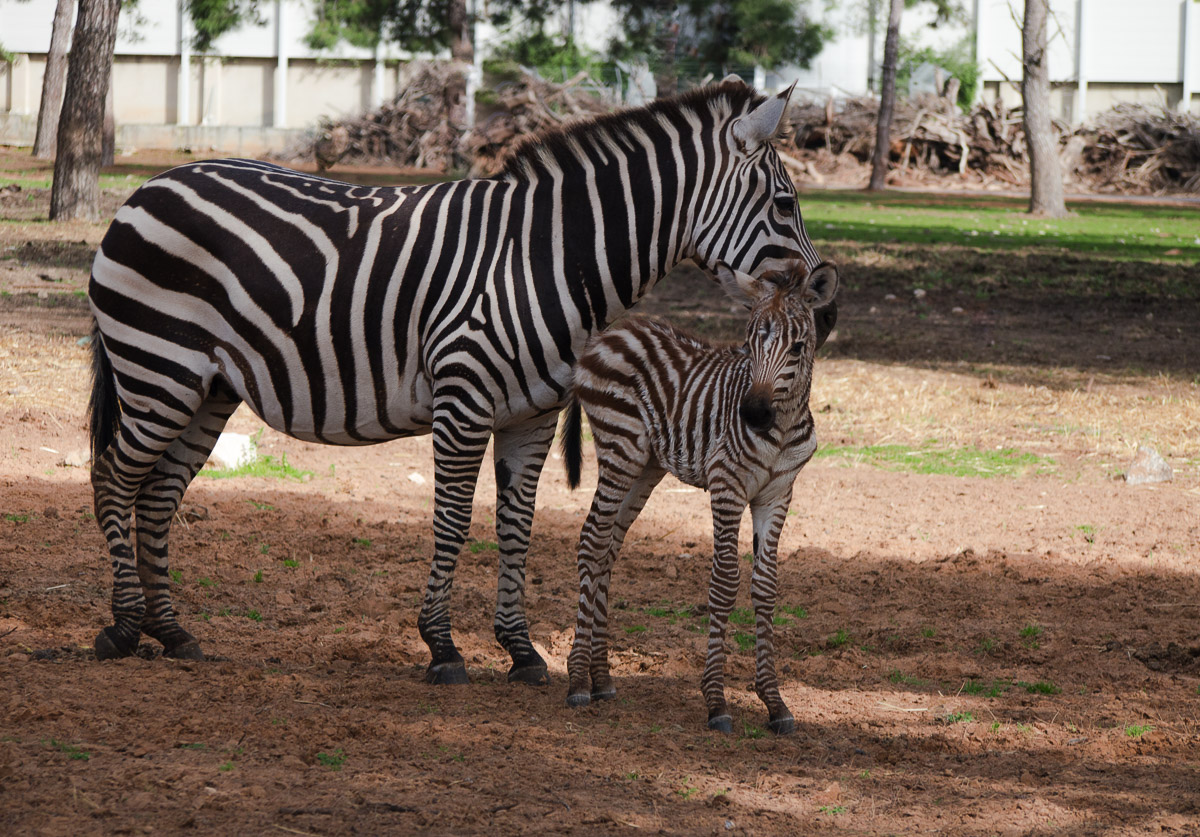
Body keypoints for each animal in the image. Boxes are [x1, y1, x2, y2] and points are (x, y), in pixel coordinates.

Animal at [88, 77, 830, 681]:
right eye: (784, 202)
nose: (825, 301)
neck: (545, 256)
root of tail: (148, 189)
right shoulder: (463, 398)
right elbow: (451, 520)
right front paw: (442, 647)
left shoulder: (533, 414)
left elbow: (517, 525)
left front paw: (522, 651)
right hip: (157, 366)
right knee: (113, 476)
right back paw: (122, 628)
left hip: (207, 386)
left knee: (157, 493)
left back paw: (171, 632)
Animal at [559, 259, 835, 729]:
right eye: (749, 341)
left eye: (798, 347)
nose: (752, 414)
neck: (781, 428)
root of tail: (612, 332)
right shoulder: (727, 485)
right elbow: (724, 582)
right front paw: (717, 702)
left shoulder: (777, 494)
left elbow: (766, 586)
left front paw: (774, 702)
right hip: (620, 448)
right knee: (591, 542)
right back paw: (578, 679)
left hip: (645, 467)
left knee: (608, 548)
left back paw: (601, 678)